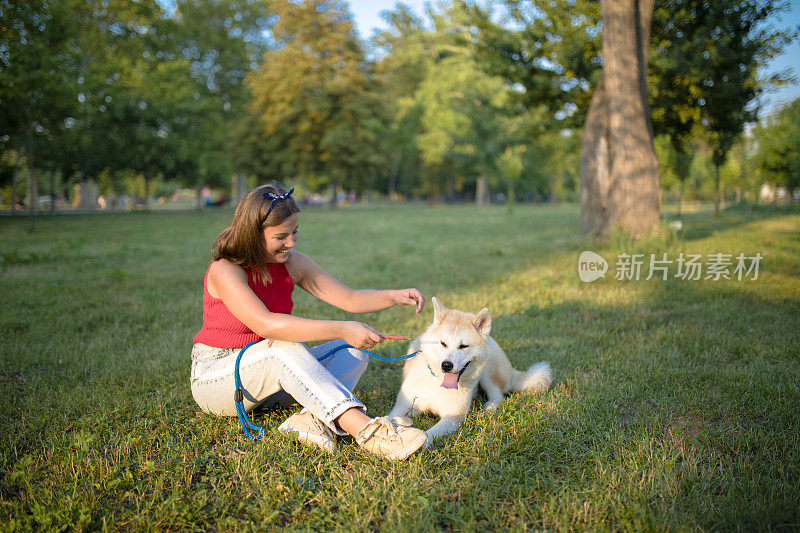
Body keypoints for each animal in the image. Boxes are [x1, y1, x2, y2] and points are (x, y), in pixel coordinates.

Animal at [388, 298, 552, 442]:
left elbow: (428, 434)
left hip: (487, 372)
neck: (438, 382)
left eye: (463, 346)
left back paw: (490, 406)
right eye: (443, 343)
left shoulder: (453, 416)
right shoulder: (402, 406)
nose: (446, 365)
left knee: (498, 395)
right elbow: (388, 418)